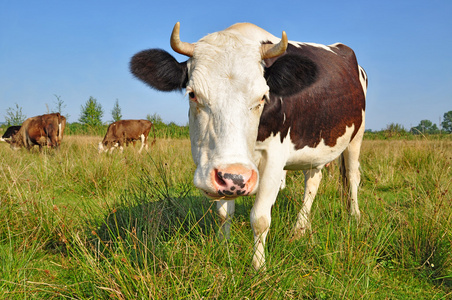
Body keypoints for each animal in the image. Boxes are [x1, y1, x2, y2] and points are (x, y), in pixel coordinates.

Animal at [130, 22, 368, 270]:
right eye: (192, 94)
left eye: (263, 96)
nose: (232, 176)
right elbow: (224, 213)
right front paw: (223, 248)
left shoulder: (274, 158)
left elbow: (260, 218)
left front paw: (258, 266)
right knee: (312, 182)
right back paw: (300, 229)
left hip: (356, 136)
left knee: (352, 176)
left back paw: (354, 216)